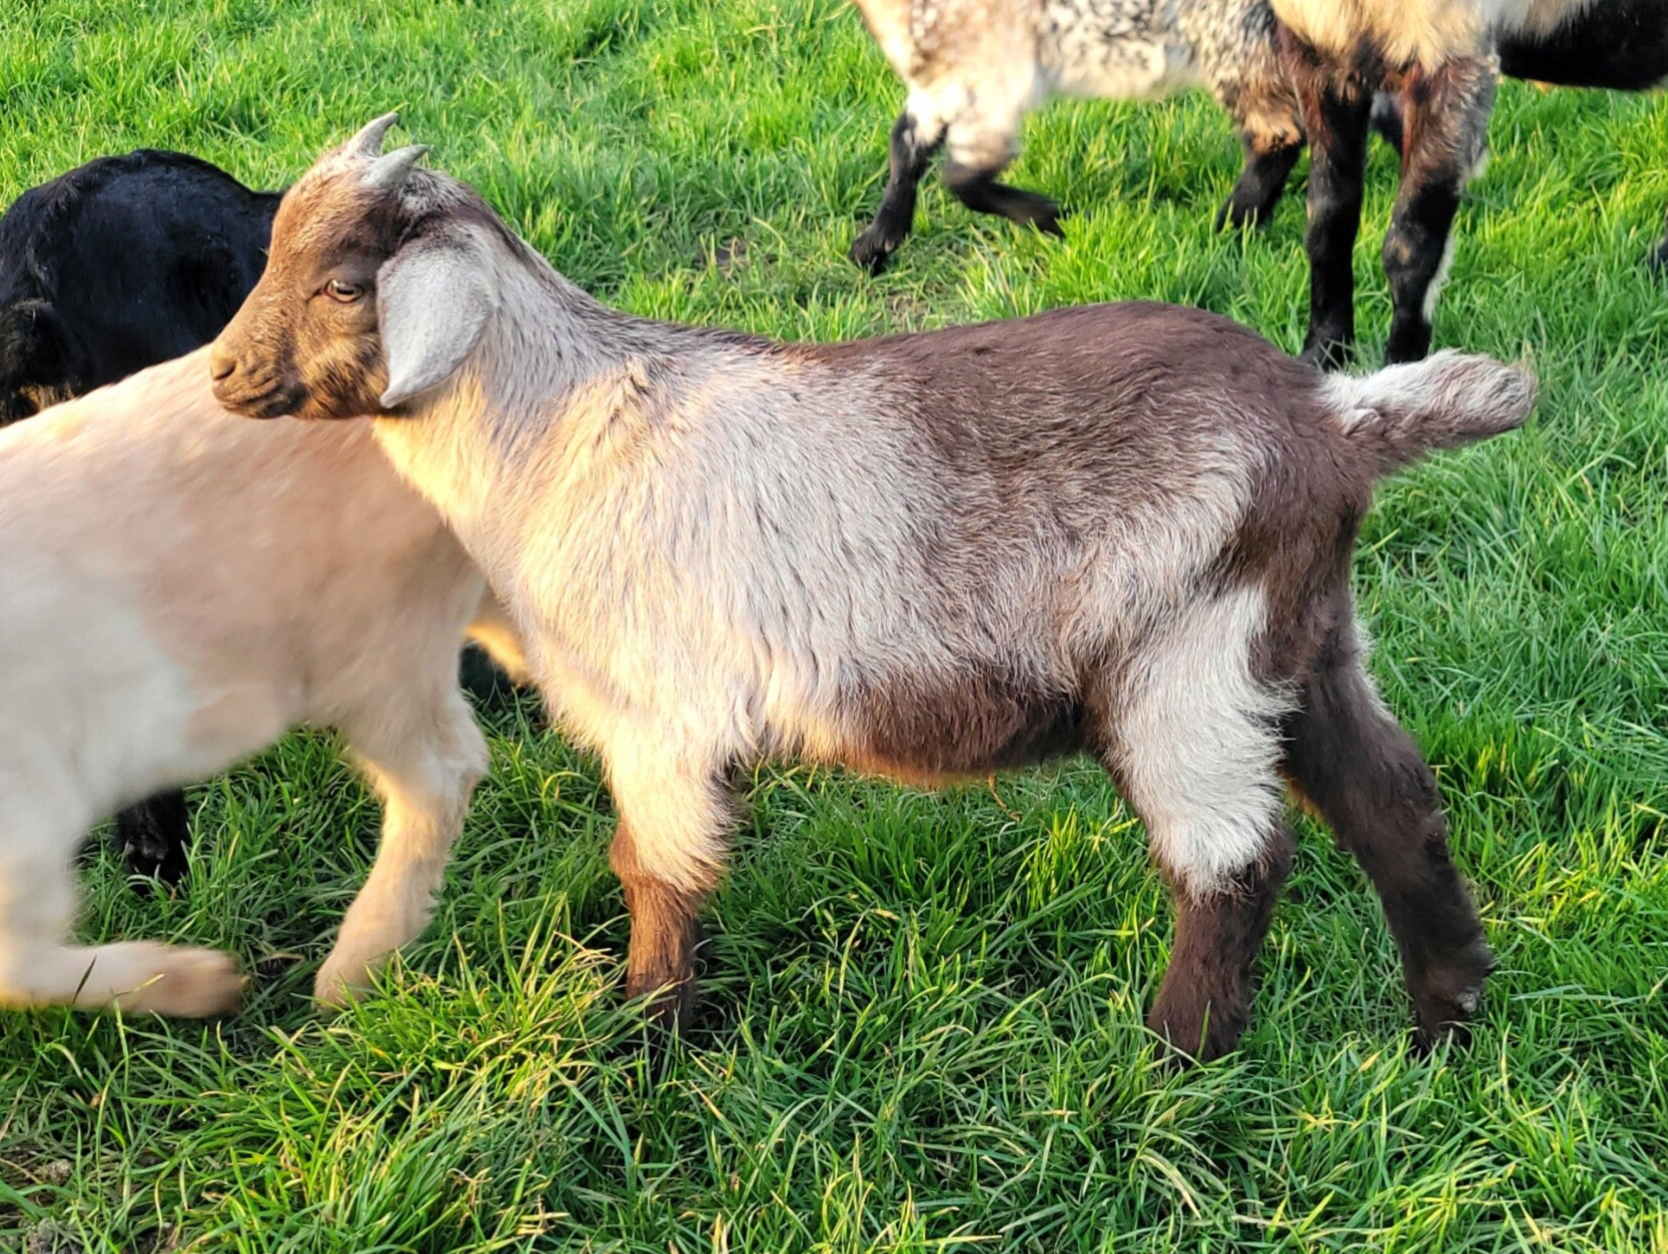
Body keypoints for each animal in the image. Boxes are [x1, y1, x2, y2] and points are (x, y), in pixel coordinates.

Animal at [209, 117, 1534, 1060]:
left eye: (343, 285)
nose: (221, 377)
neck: (559, 430)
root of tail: (1332, 418)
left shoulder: (661, 719)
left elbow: (657, 871)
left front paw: (647, 1042)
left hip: (1184, 661)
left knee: (1234, 861)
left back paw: (1172, 1063)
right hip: (1299, 639)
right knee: (1393, 805)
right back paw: (1445, 1021)